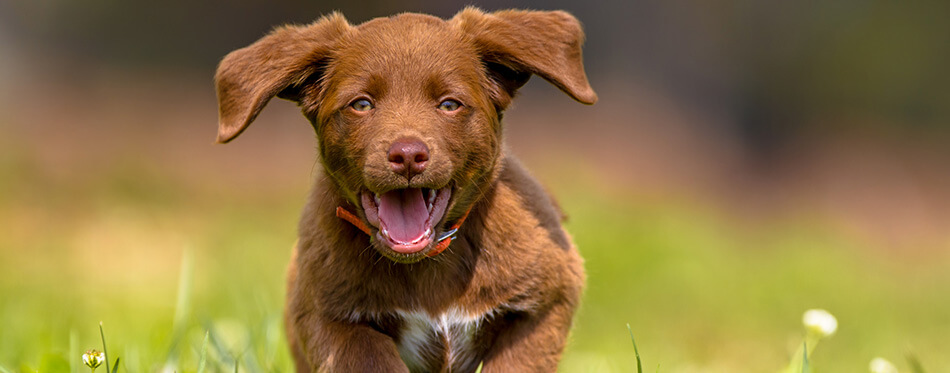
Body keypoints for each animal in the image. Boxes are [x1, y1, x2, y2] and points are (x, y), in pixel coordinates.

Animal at [218, 7, 596, 370]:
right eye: (361, 104)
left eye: (449, 104)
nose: (408, 155)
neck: (426, 262)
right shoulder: (327, 316)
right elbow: (370, 359)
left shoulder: (547, 302)